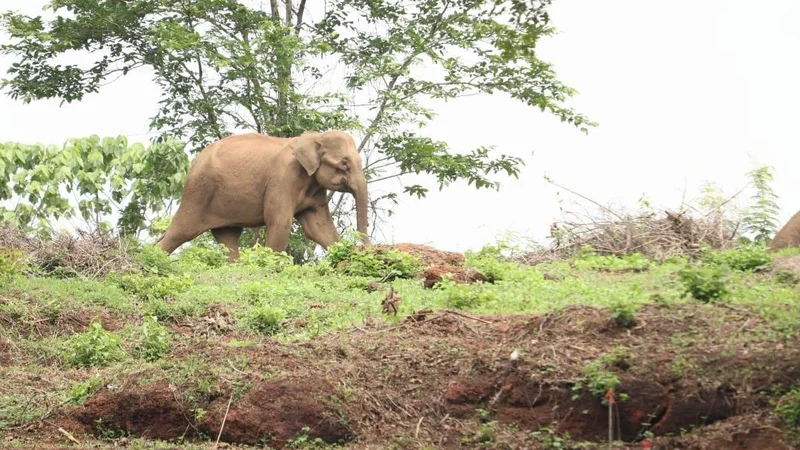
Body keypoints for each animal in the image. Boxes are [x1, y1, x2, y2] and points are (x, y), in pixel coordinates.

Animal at [156, 130, 369, 261]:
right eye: (344, 163)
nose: (365, 249)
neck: (315, 136)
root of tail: (194, 162)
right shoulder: (283, 178)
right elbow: (280, 222)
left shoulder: (315, 189)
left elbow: (318, 228)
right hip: (198, 191)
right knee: (181, 231)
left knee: (228, 237)